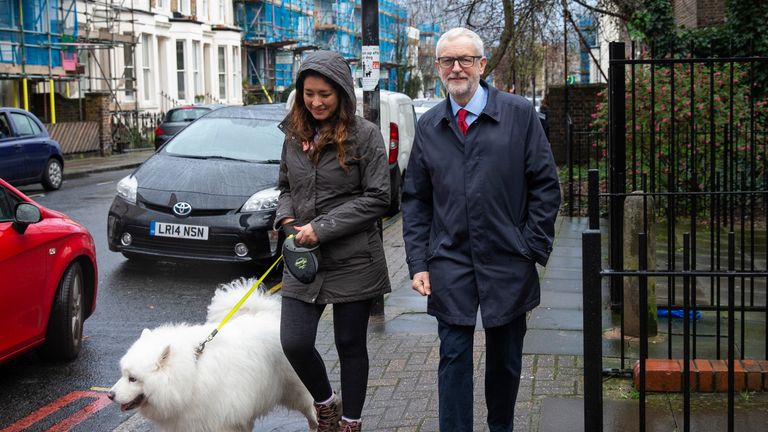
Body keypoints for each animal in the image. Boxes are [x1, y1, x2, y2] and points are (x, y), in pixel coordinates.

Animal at [108, 278, 318, 430]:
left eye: (133, 379)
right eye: (123, 374)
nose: (110, 395)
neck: (190, 375)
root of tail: (266, 315)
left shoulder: (220, 420)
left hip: (295, 387)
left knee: (310, 407)